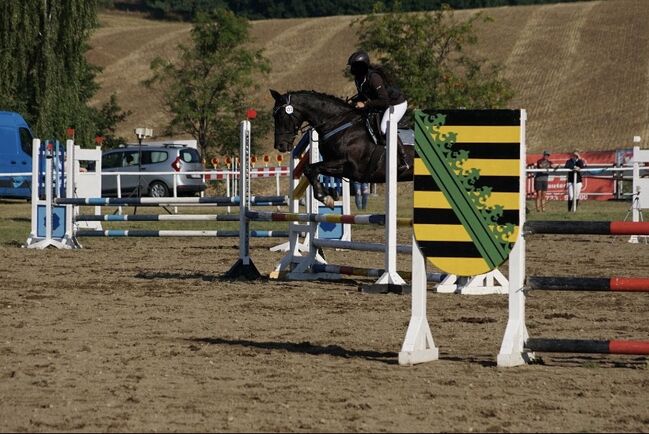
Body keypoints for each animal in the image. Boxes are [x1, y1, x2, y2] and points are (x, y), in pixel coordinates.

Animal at [270, 89, 412, 208]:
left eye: (280, 116)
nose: (280, 146)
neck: (337, 123)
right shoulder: (343, 169)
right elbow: (312, 169)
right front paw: (328, 194)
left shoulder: (350, 165)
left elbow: (310, 168)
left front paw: (324, 197)